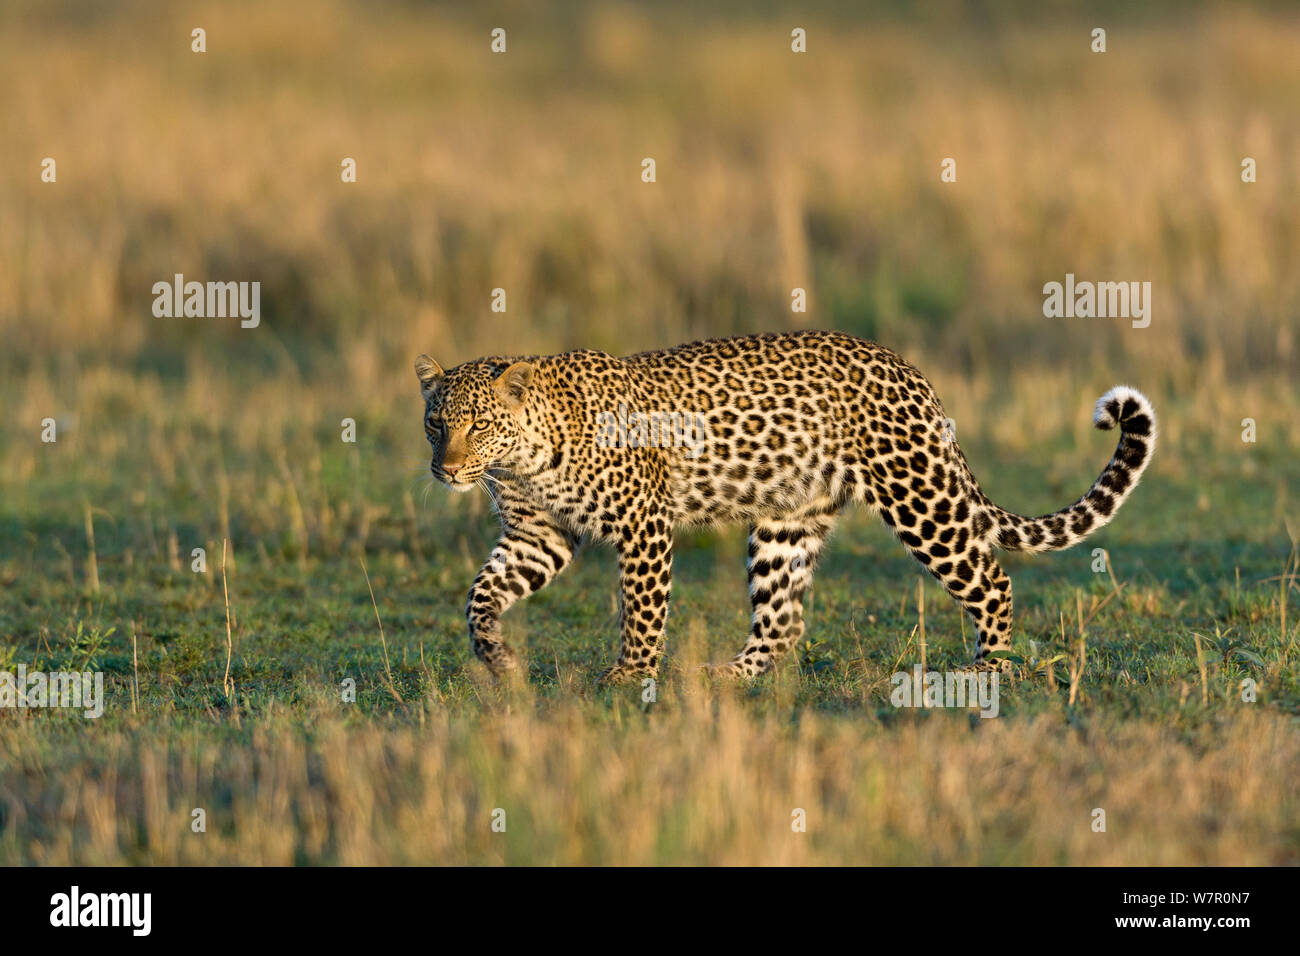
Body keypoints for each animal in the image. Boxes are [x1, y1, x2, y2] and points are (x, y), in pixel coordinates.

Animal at [416, 330, 1156, 685]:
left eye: (478, 424)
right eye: (435, 423)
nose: (445, 468)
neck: (523, 458)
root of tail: (911, 372)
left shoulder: (643, 525)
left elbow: (643, 611)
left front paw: (629, 677)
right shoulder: (536, 536)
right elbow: (479, 595)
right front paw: (497, 658)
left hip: (918, 496)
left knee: (992, 578)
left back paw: (988, 670)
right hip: (785, 523)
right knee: (783, 621)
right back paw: (726, 677)